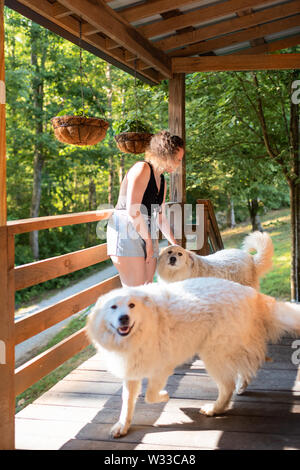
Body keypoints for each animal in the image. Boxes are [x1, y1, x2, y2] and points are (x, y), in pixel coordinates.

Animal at [87, 278, 300, 438]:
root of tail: (252, 295)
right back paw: (241, 386)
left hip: (213, 354)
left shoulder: (161, 369)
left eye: (131, 305)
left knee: (227, 385)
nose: (124, 318)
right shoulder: (132, 371)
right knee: (246, 368)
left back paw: (215, 408)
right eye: (113, 307)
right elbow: (127, 403)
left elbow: (150, 395)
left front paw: (165, 396)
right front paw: (123, 426)